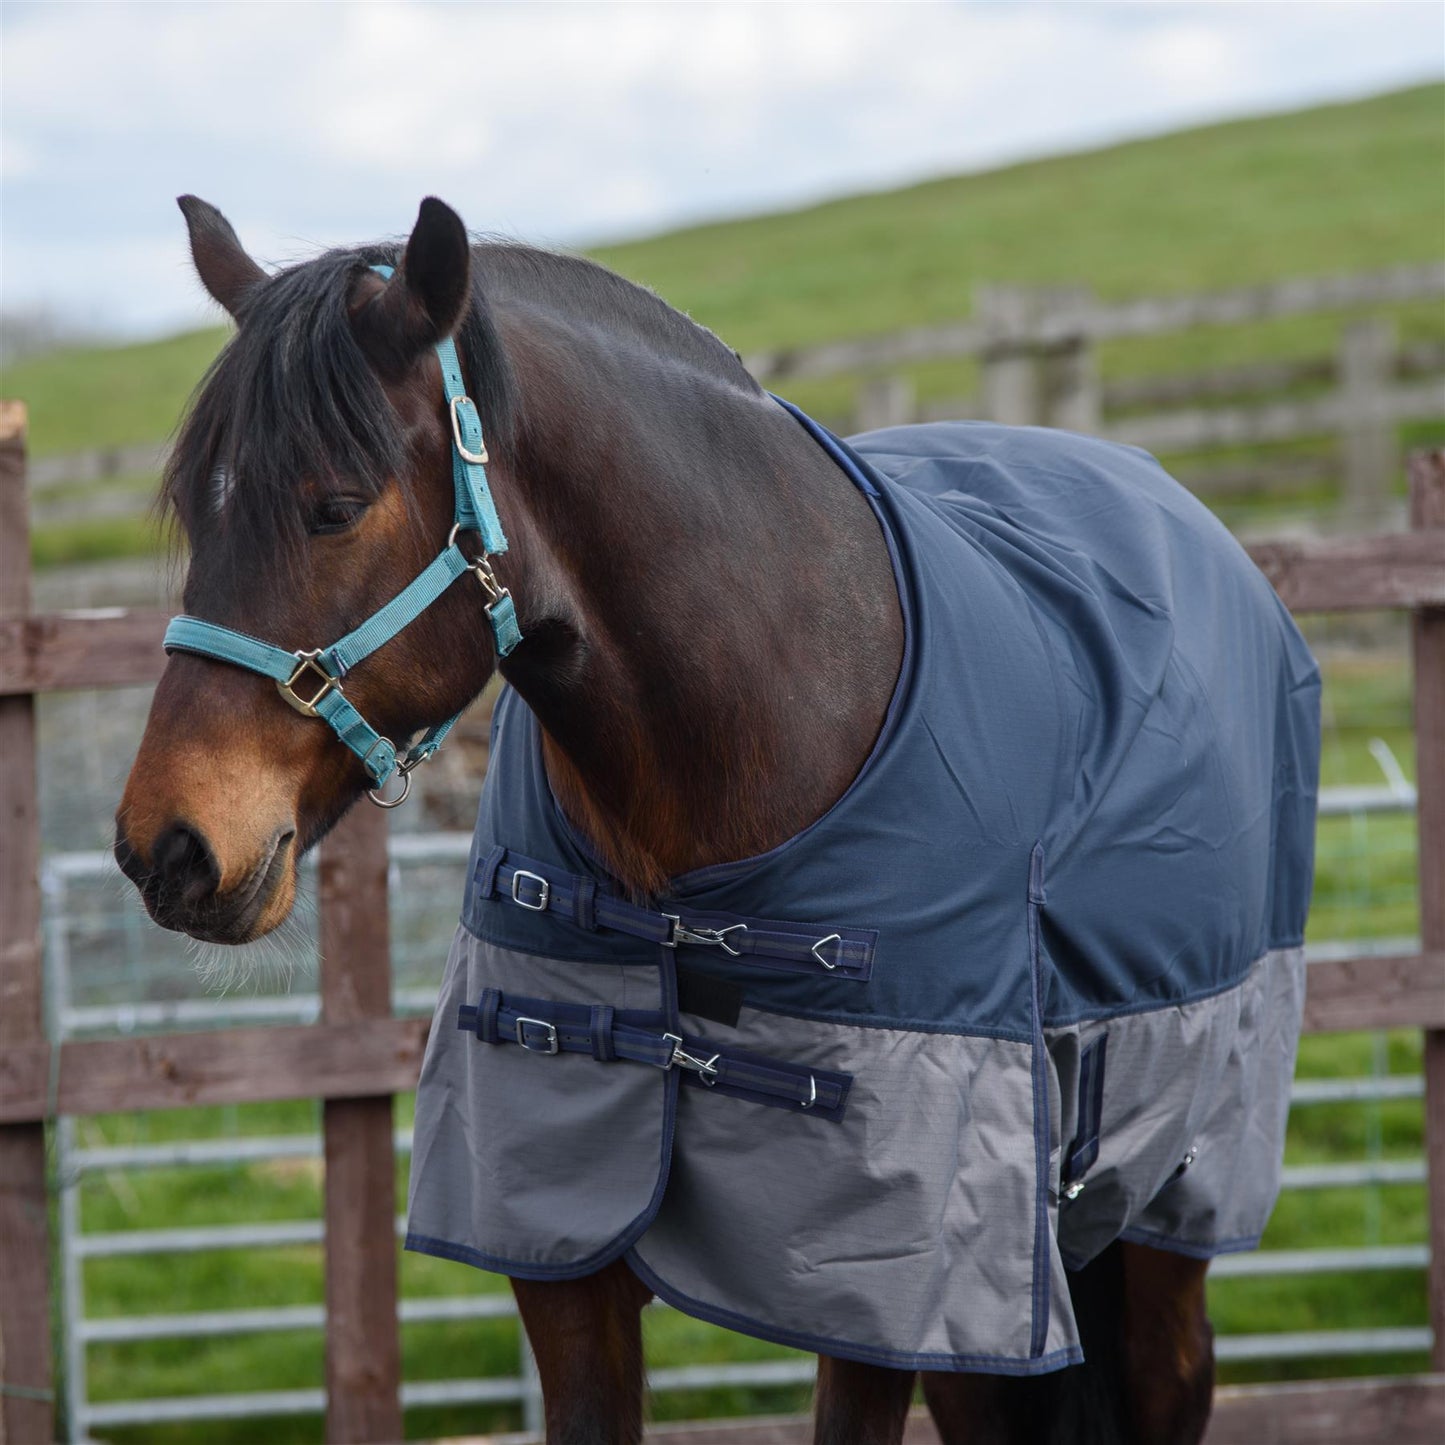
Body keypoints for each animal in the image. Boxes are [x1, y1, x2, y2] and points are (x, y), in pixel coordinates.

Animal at [116, 195, 1320, 1444]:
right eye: (194, 508)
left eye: (336, 508)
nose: (169, 845)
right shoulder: (566, 1254)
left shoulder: (874, 1284)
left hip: (1156, 1201)